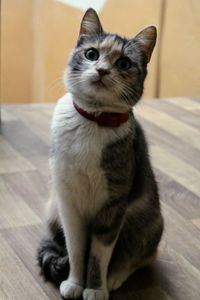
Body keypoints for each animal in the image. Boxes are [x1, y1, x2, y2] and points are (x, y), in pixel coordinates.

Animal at [37, 8, 164, 300]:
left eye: (124, 63)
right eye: (92, 54)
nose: (102, 69)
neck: (93, 120)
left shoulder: (113, 206)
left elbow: (98, 255)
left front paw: (95, 288)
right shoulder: (67, 201)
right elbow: (76, 249)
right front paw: (74, 282)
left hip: (147, 221)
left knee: (140, 256)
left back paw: (116, 276)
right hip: (52, 208)